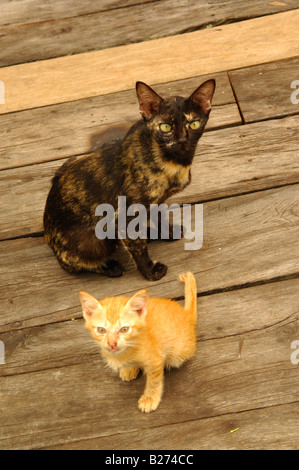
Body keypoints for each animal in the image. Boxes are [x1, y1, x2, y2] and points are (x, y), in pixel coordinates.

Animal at [44, 79, 216, 280]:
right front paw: (150, 271)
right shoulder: (123, 215)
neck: (174, 163)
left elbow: (158, 216)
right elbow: (138, 247)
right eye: (166, 127)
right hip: (89, 246)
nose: (182, 140)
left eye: (193, 124)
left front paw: (167, 231)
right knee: (74, 264)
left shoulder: (155, 202)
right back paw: (110, 265)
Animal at [79, 272, 198, 412]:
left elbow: (154, 381)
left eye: (124, 329)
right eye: (101, 330)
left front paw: (150, 399)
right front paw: (130, 368)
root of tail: (186, 315)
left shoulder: (155, 361)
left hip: (179, 352)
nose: (112, 344)